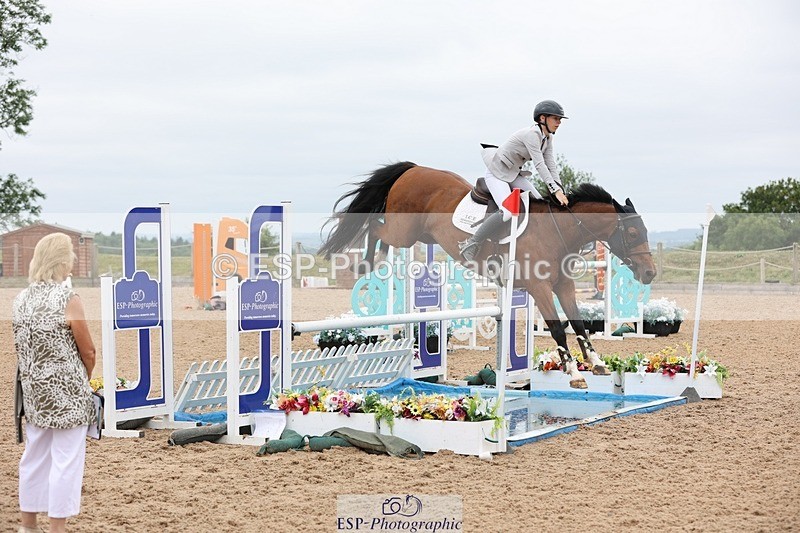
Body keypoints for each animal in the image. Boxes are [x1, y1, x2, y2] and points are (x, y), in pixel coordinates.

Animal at [319, 161, 657, 388]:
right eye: (631, 233)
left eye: (644, 231)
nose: (650, 273)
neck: (558, 231)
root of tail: (413, 169)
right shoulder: (539, 288)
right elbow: (558, 329)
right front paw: (574, 374)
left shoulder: (564, 286)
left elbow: (579, 324)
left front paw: (596, 364)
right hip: (404, 231)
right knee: (374, 227)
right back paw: (366, 263)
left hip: (422, 235)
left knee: (380, 231)